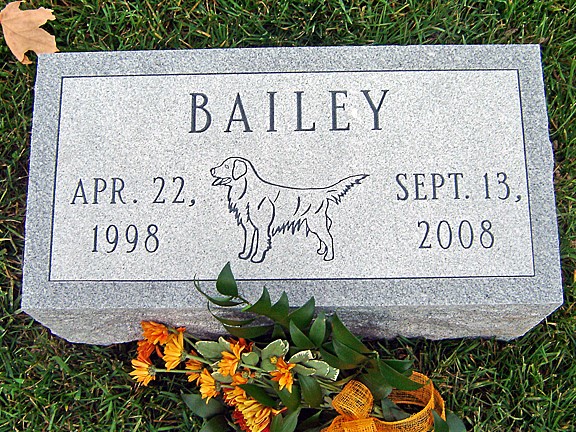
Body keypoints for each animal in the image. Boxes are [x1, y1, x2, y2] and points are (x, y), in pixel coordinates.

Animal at [209, 156, 366, 264]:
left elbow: (261, 243)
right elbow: (248, 243)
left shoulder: (262, 227)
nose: (211, 170)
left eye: (226, 166)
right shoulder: (249, 227)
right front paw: (245, 255)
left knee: (329, 238)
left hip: (316, 222)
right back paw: (322, 251)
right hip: (314, 224)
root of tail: (320, 192)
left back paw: (329, 256)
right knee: (324, 237)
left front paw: (257, 258)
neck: (248, 191)